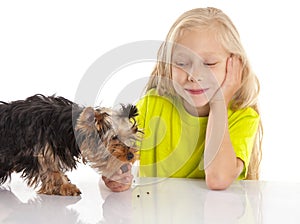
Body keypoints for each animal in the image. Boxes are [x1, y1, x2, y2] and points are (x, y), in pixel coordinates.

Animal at [0, 94, 141, 196]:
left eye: (129, 138)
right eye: (114, 137)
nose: (131, 155)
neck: (65, 128)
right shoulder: (42, 148)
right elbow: (51, 169)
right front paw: (66, 186)